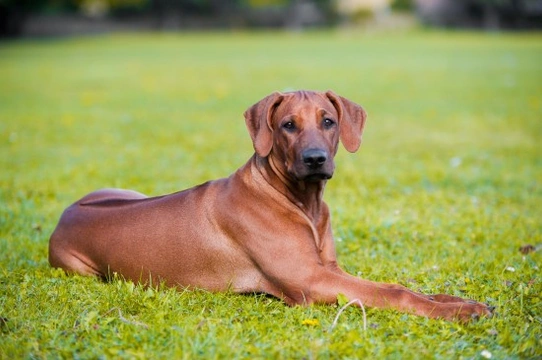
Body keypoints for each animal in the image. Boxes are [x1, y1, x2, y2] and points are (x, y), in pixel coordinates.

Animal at [49, 90, 496, 320]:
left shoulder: (330, 269)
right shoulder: (312, 280)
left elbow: (410, 287)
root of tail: (64, 215)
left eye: (328, 120)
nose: (315, 158)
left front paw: (461, 303)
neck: (301, 201)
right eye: (288, 125)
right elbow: (396, 291)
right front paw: (456, 312)